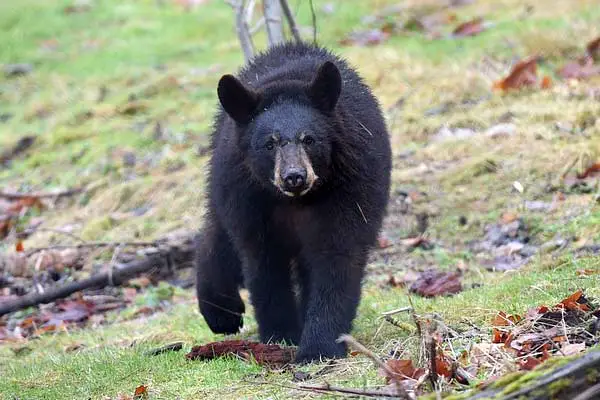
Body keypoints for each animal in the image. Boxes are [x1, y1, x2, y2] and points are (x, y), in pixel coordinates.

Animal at [197, 40, 392, 362]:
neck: (296, 203)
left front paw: (318, 347)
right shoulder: (249, 198)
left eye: (309, 139)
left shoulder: (351, 188)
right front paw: (280, 335)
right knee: (217, 230)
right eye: (269, 143)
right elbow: (263, 264)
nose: (294, 177)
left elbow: (337, 258)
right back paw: (221, 311)